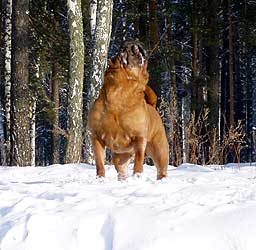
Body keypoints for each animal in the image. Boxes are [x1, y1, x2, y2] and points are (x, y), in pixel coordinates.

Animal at [87, 40, 169, 179]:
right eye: (122, 49)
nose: (133, 43)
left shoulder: (139, 137)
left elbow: (139, 160)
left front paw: (137, 176)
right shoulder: (96, 137)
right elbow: (99, 163)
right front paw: (100, 179)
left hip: (160, 150)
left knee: (161, 170)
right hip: (120, 157)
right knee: (121, 171)